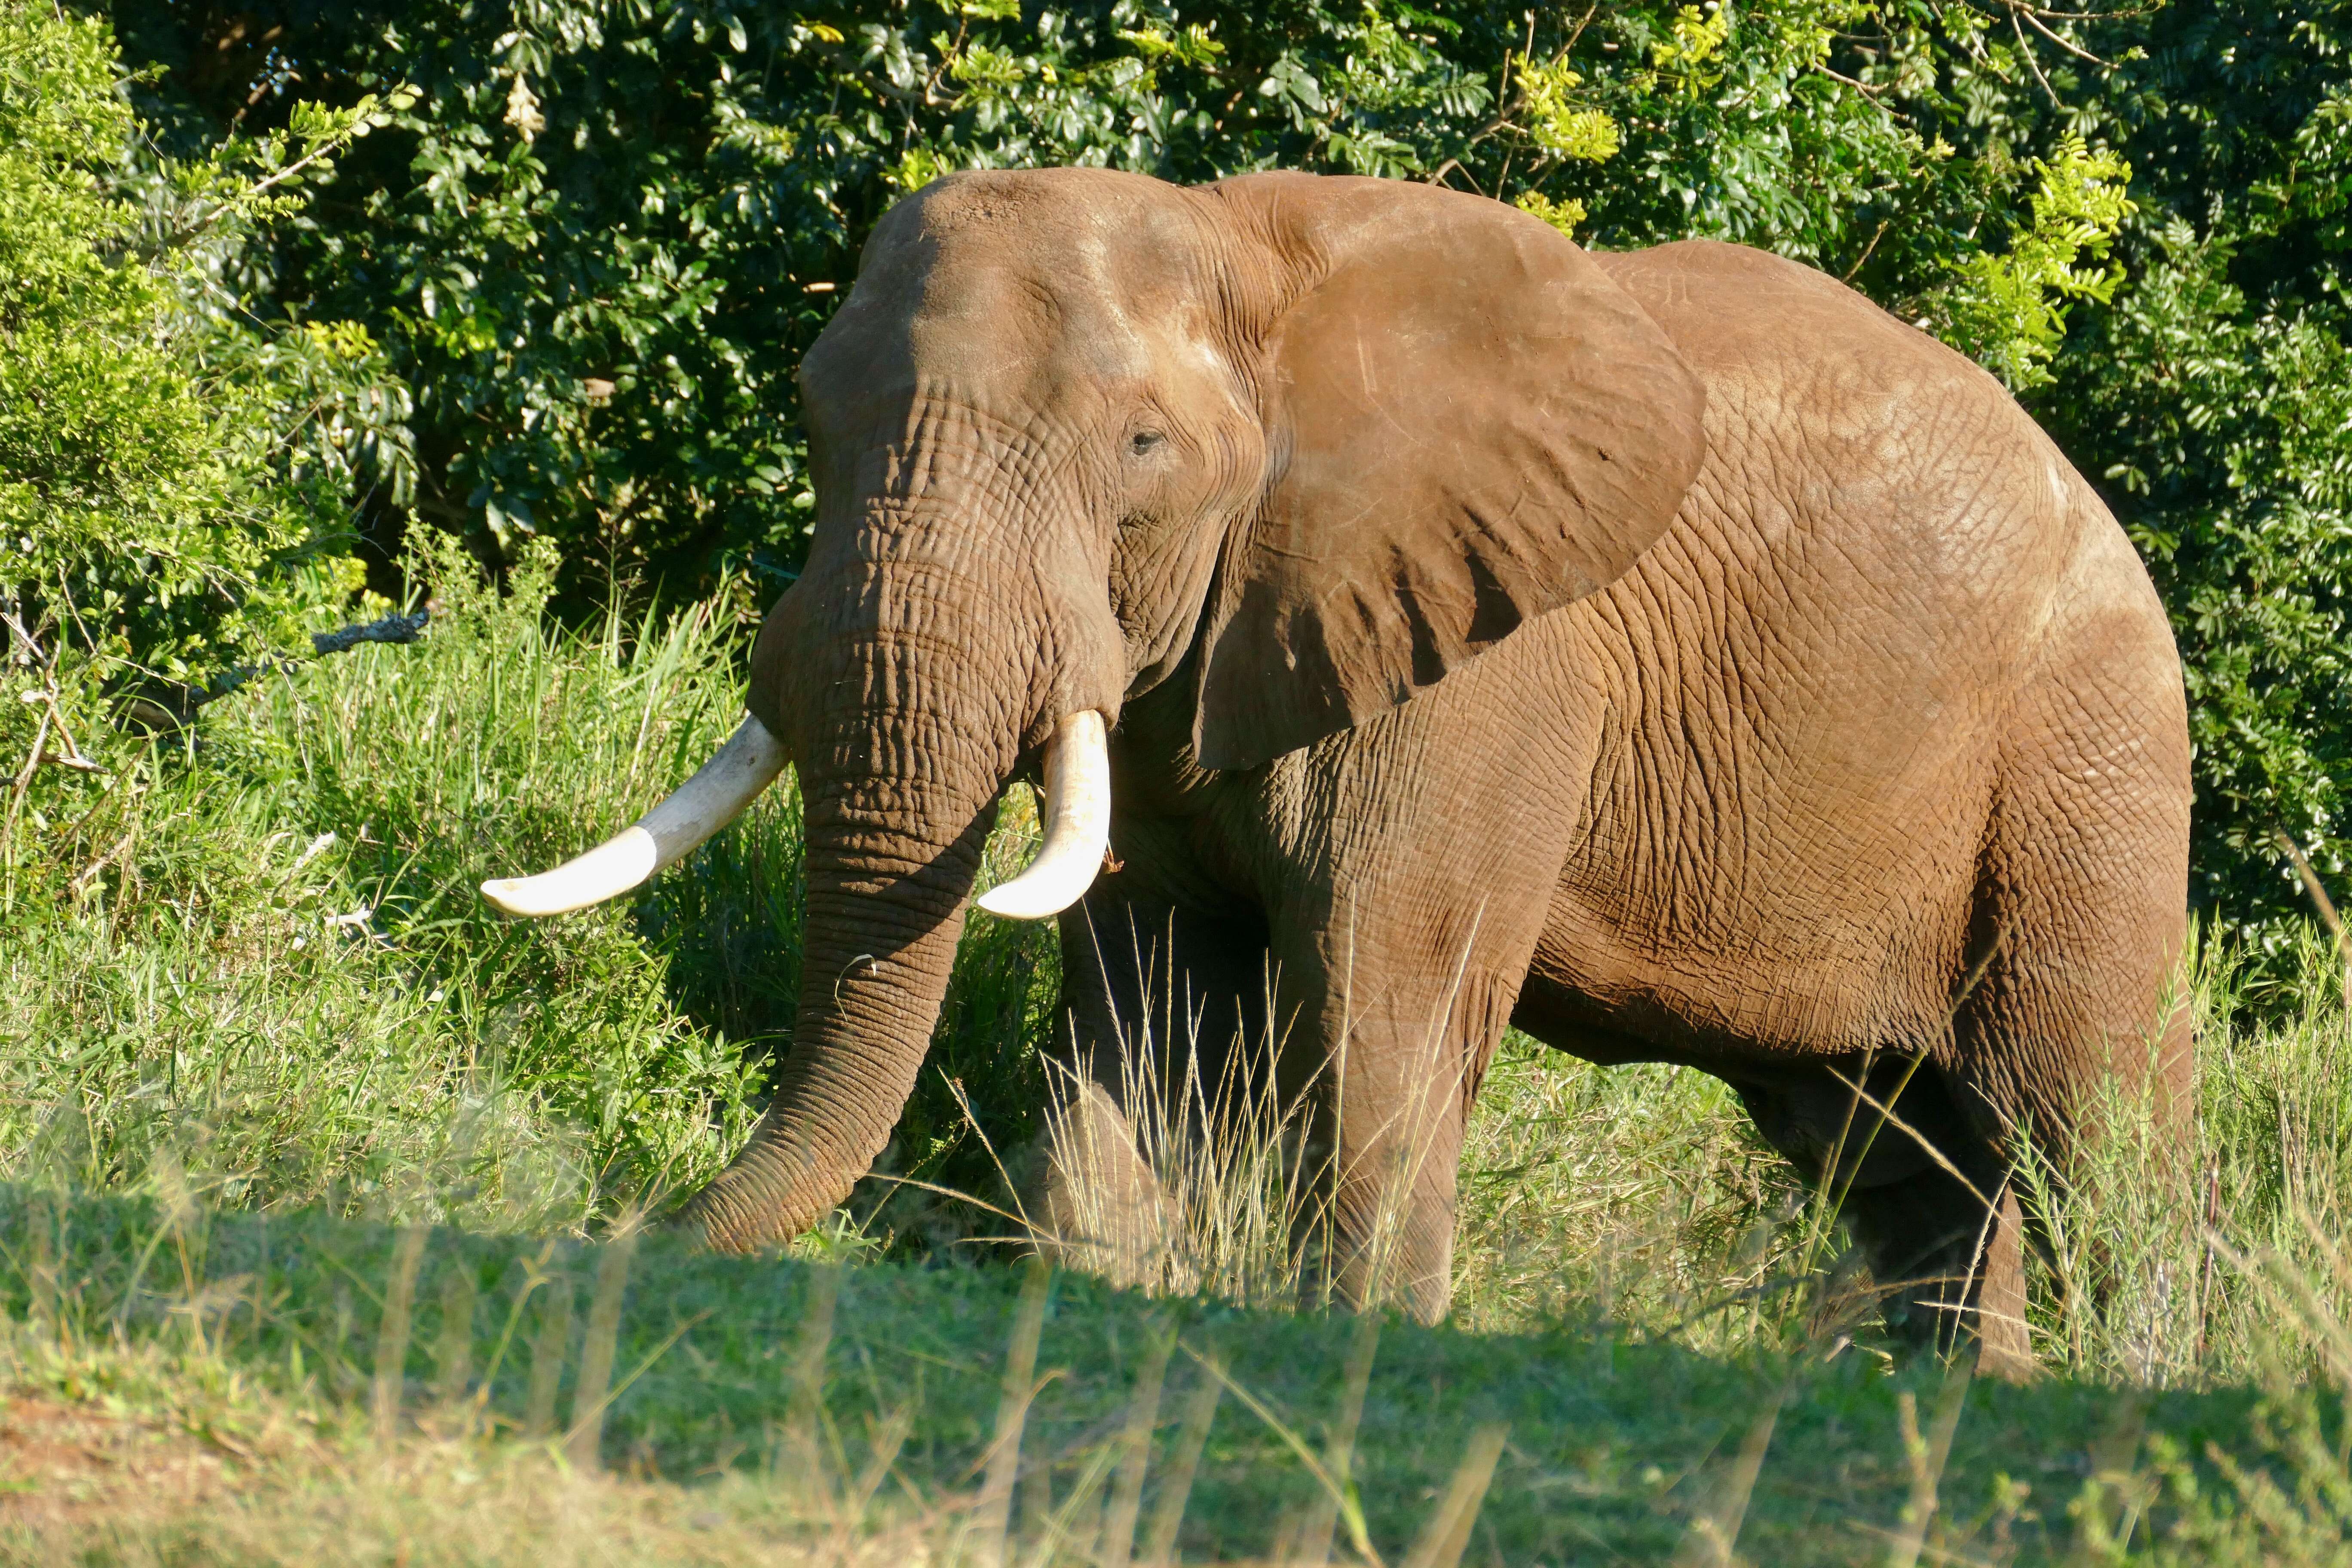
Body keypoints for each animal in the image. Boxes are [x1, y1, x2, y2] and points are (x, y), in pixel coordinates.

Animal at [487, 169, 2192, 1373]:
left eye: (1141, 451)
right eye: (809, 416)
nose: (634, 1231)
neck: (1239, 253)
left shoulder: (1484, 661)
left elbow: (1387, 978)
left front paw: (1354, 1337)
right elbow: (1148, 984)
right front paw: (1101, 1291)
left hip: (2084, 760)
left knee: (2074, 1111)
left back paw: (2136, 1384)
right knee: (1899, 1159)